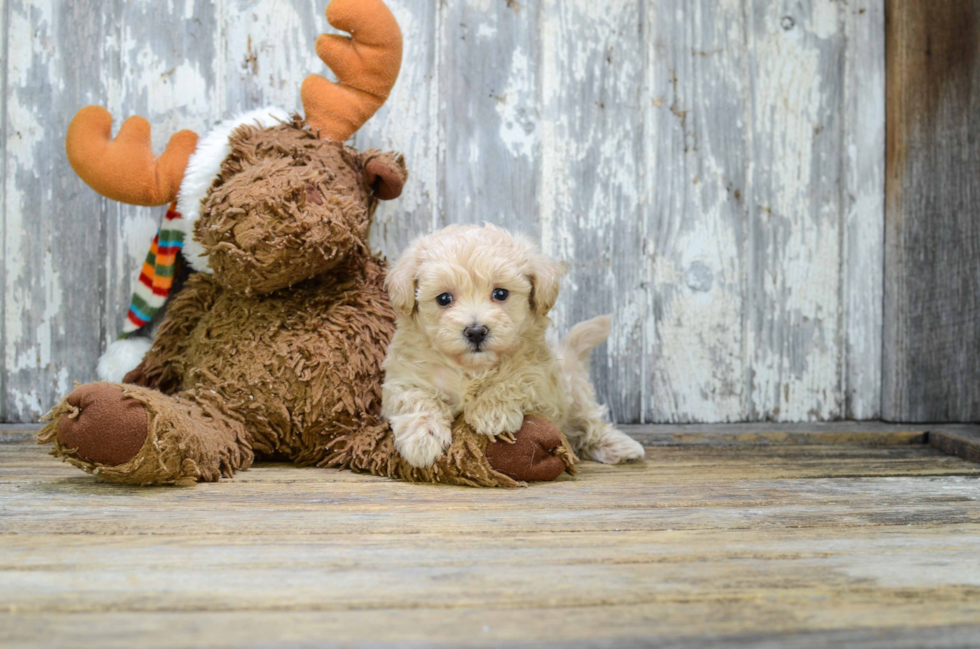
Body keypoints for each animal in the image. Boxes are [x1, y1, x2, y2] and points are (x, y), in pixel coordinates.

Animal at [380, 225, 644, 468]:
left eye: (500, 293)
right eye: (444, 298)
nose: (476, 331)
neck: (473, 368)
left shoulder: (540, 376)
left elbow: (515, 379)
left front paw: (491, 412)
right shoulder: (405, 377)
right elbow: (416, 398)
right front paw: (422, 440)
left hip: (574, 395)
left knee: (589, 421)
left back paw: (619, 446)